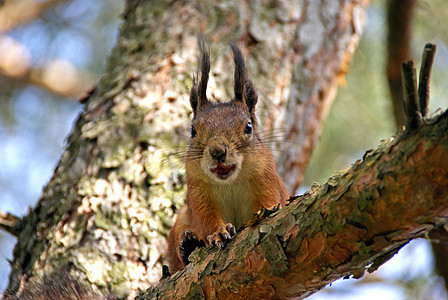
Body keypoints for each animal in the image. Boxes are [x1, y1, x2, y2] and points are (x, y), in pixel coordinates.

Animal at [166, 40, 288, 274]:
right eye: (193, 131)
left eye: (248, 127)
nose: (217, 151)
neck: (230, 182)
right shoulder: (197, 191)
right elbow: (205, 218)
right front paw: (219, 232)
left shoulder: (267, 176)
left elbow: (270, 199)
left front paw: (268, 210)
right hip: (181, 220)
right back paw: (187, 246)